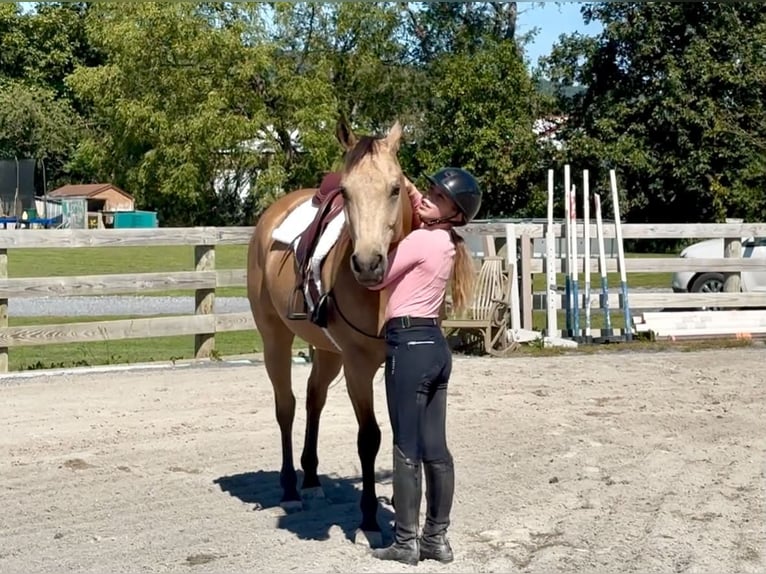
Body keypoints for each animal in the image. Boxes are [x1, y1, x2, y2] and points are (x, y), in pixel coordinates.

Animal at [246, 117, 414, 547]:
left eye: (395, 188)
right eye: (347, 191)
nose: (368, 263)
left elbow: (403, 431)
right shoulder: (358, 366)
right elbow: (369, 437)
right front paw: (369, 520)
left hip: (327, 351)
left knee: (313, 399)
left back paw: (310, 480)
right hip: (275, 338)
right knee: (287, 405)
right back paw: (291, 489)